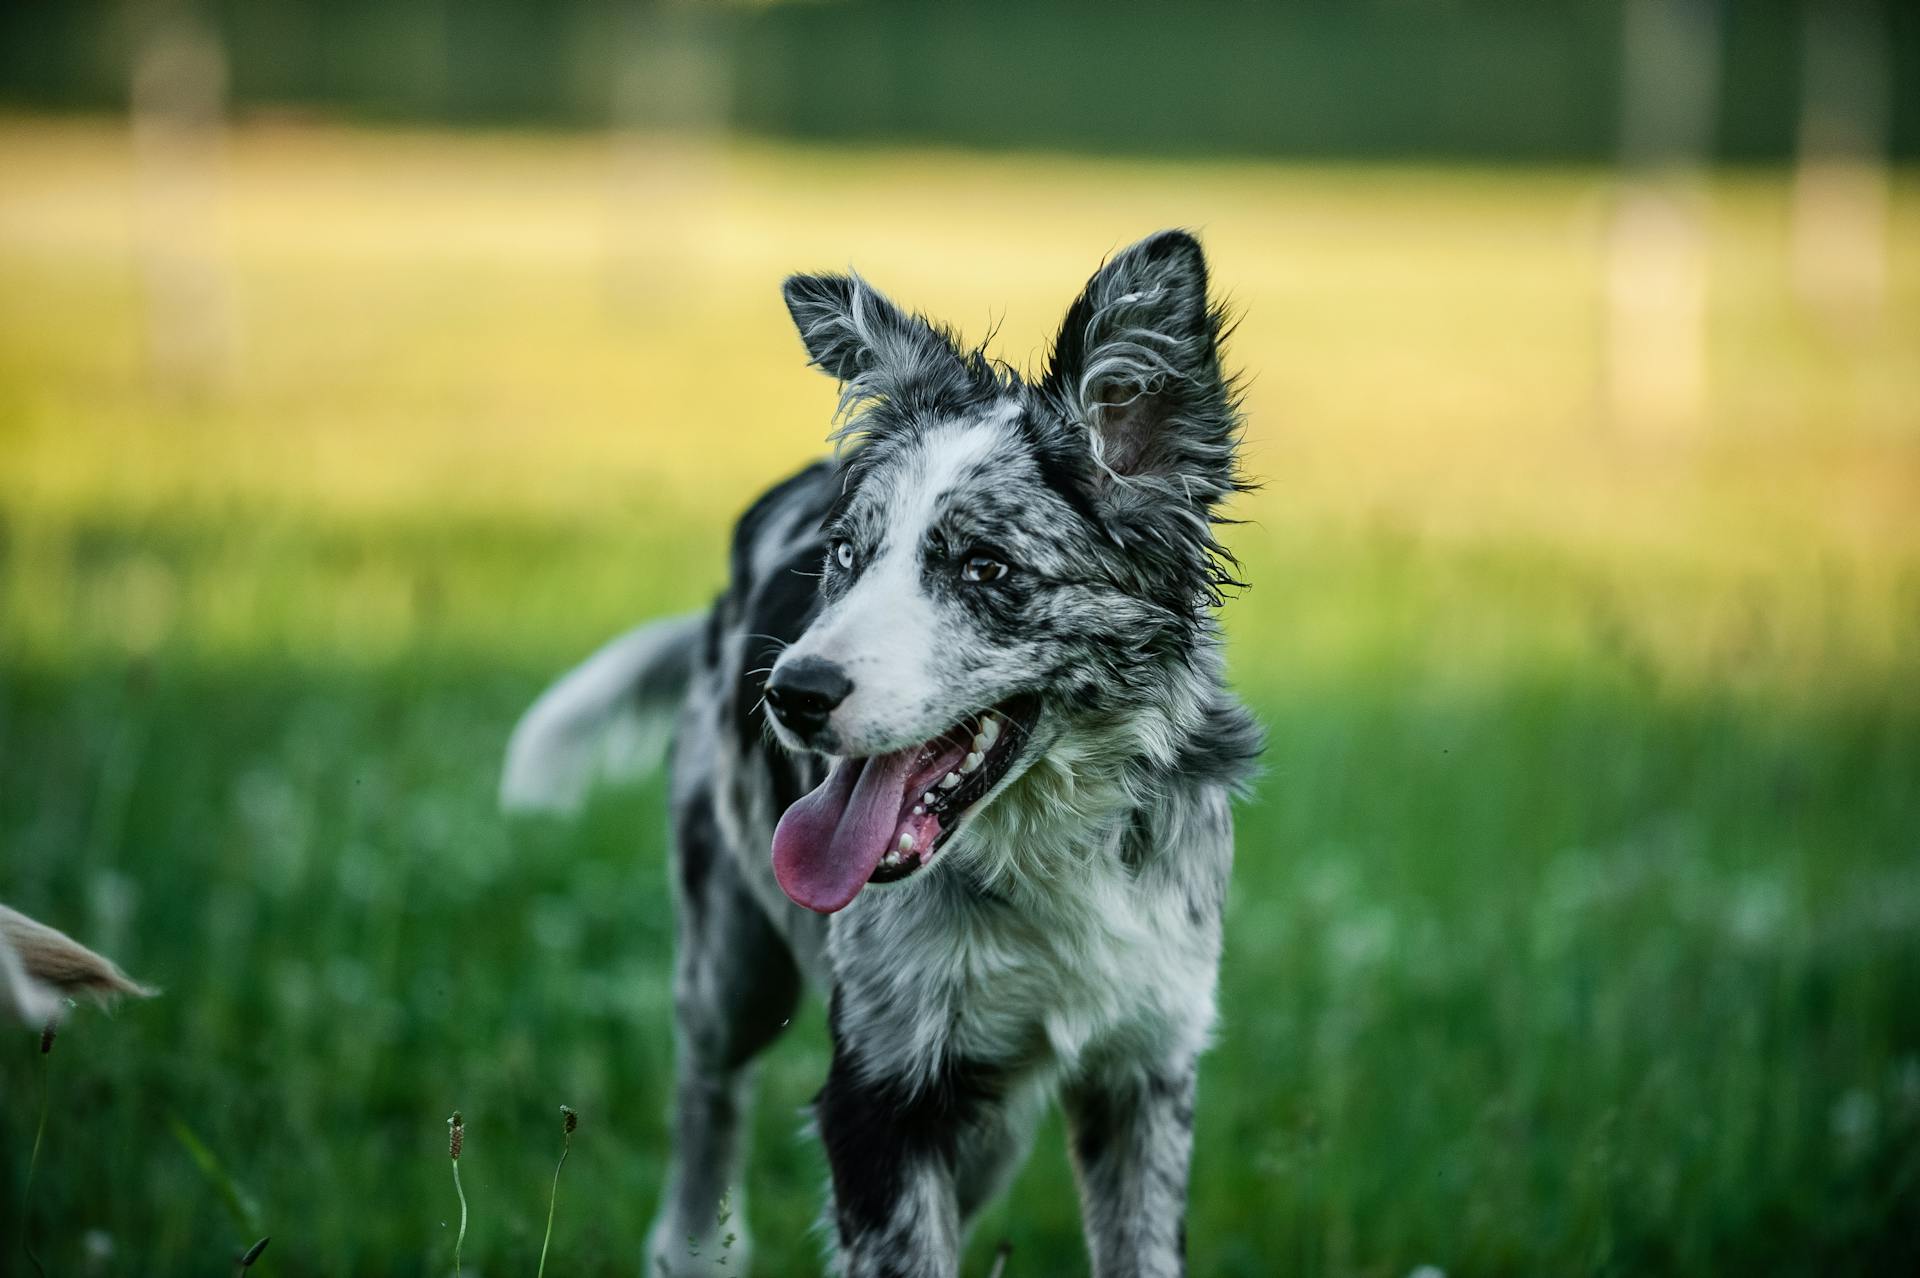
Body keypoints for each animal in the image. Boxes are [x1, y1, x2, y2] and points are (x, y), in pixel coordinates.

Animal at [503, 231, 1259, 1274]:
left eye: (986, 567)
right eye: (845, 558)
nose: (788, 694)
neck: (1045, 853)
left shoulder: (1144, 1072)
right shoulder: (881, 1090)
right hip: (729, 964)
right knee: (707, 1098)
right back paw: (693, 1245)